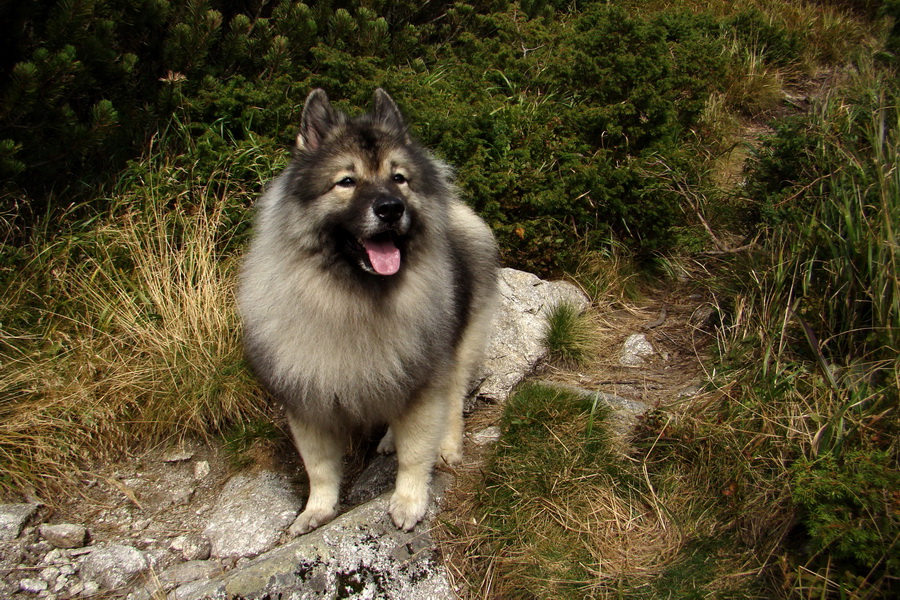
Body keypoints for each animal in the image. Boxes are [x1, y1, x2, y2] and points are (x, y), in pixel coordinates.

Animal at [236, 89, 500, 536]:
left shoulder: (424, 380)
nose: (391, 208)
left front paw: (409, 501)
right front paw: (317, 511)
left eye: (399, 178)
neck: (354, 297)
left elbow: (416, 452)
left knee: (451, 406)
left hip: (459, 348)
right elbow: (320, 468)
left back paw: (446, 447)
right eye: (347, 181)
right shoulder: (307, 399)